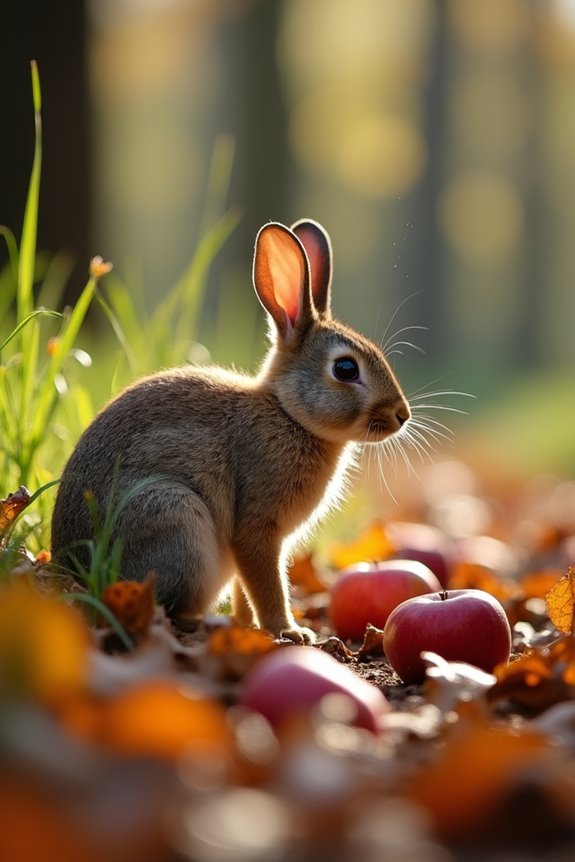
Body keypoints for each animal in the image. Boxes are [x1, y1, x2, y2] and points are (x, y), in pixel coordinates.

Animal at [51, 219, 410, 643]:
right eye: (345, 369)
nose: (402, 415)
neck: (289, 414)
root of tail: (71, 569)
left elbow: (246, 587)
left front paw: (249, 626)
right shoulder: (256, 528)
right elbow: (266, 582)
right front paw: (289, 632)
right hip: (174, 518)